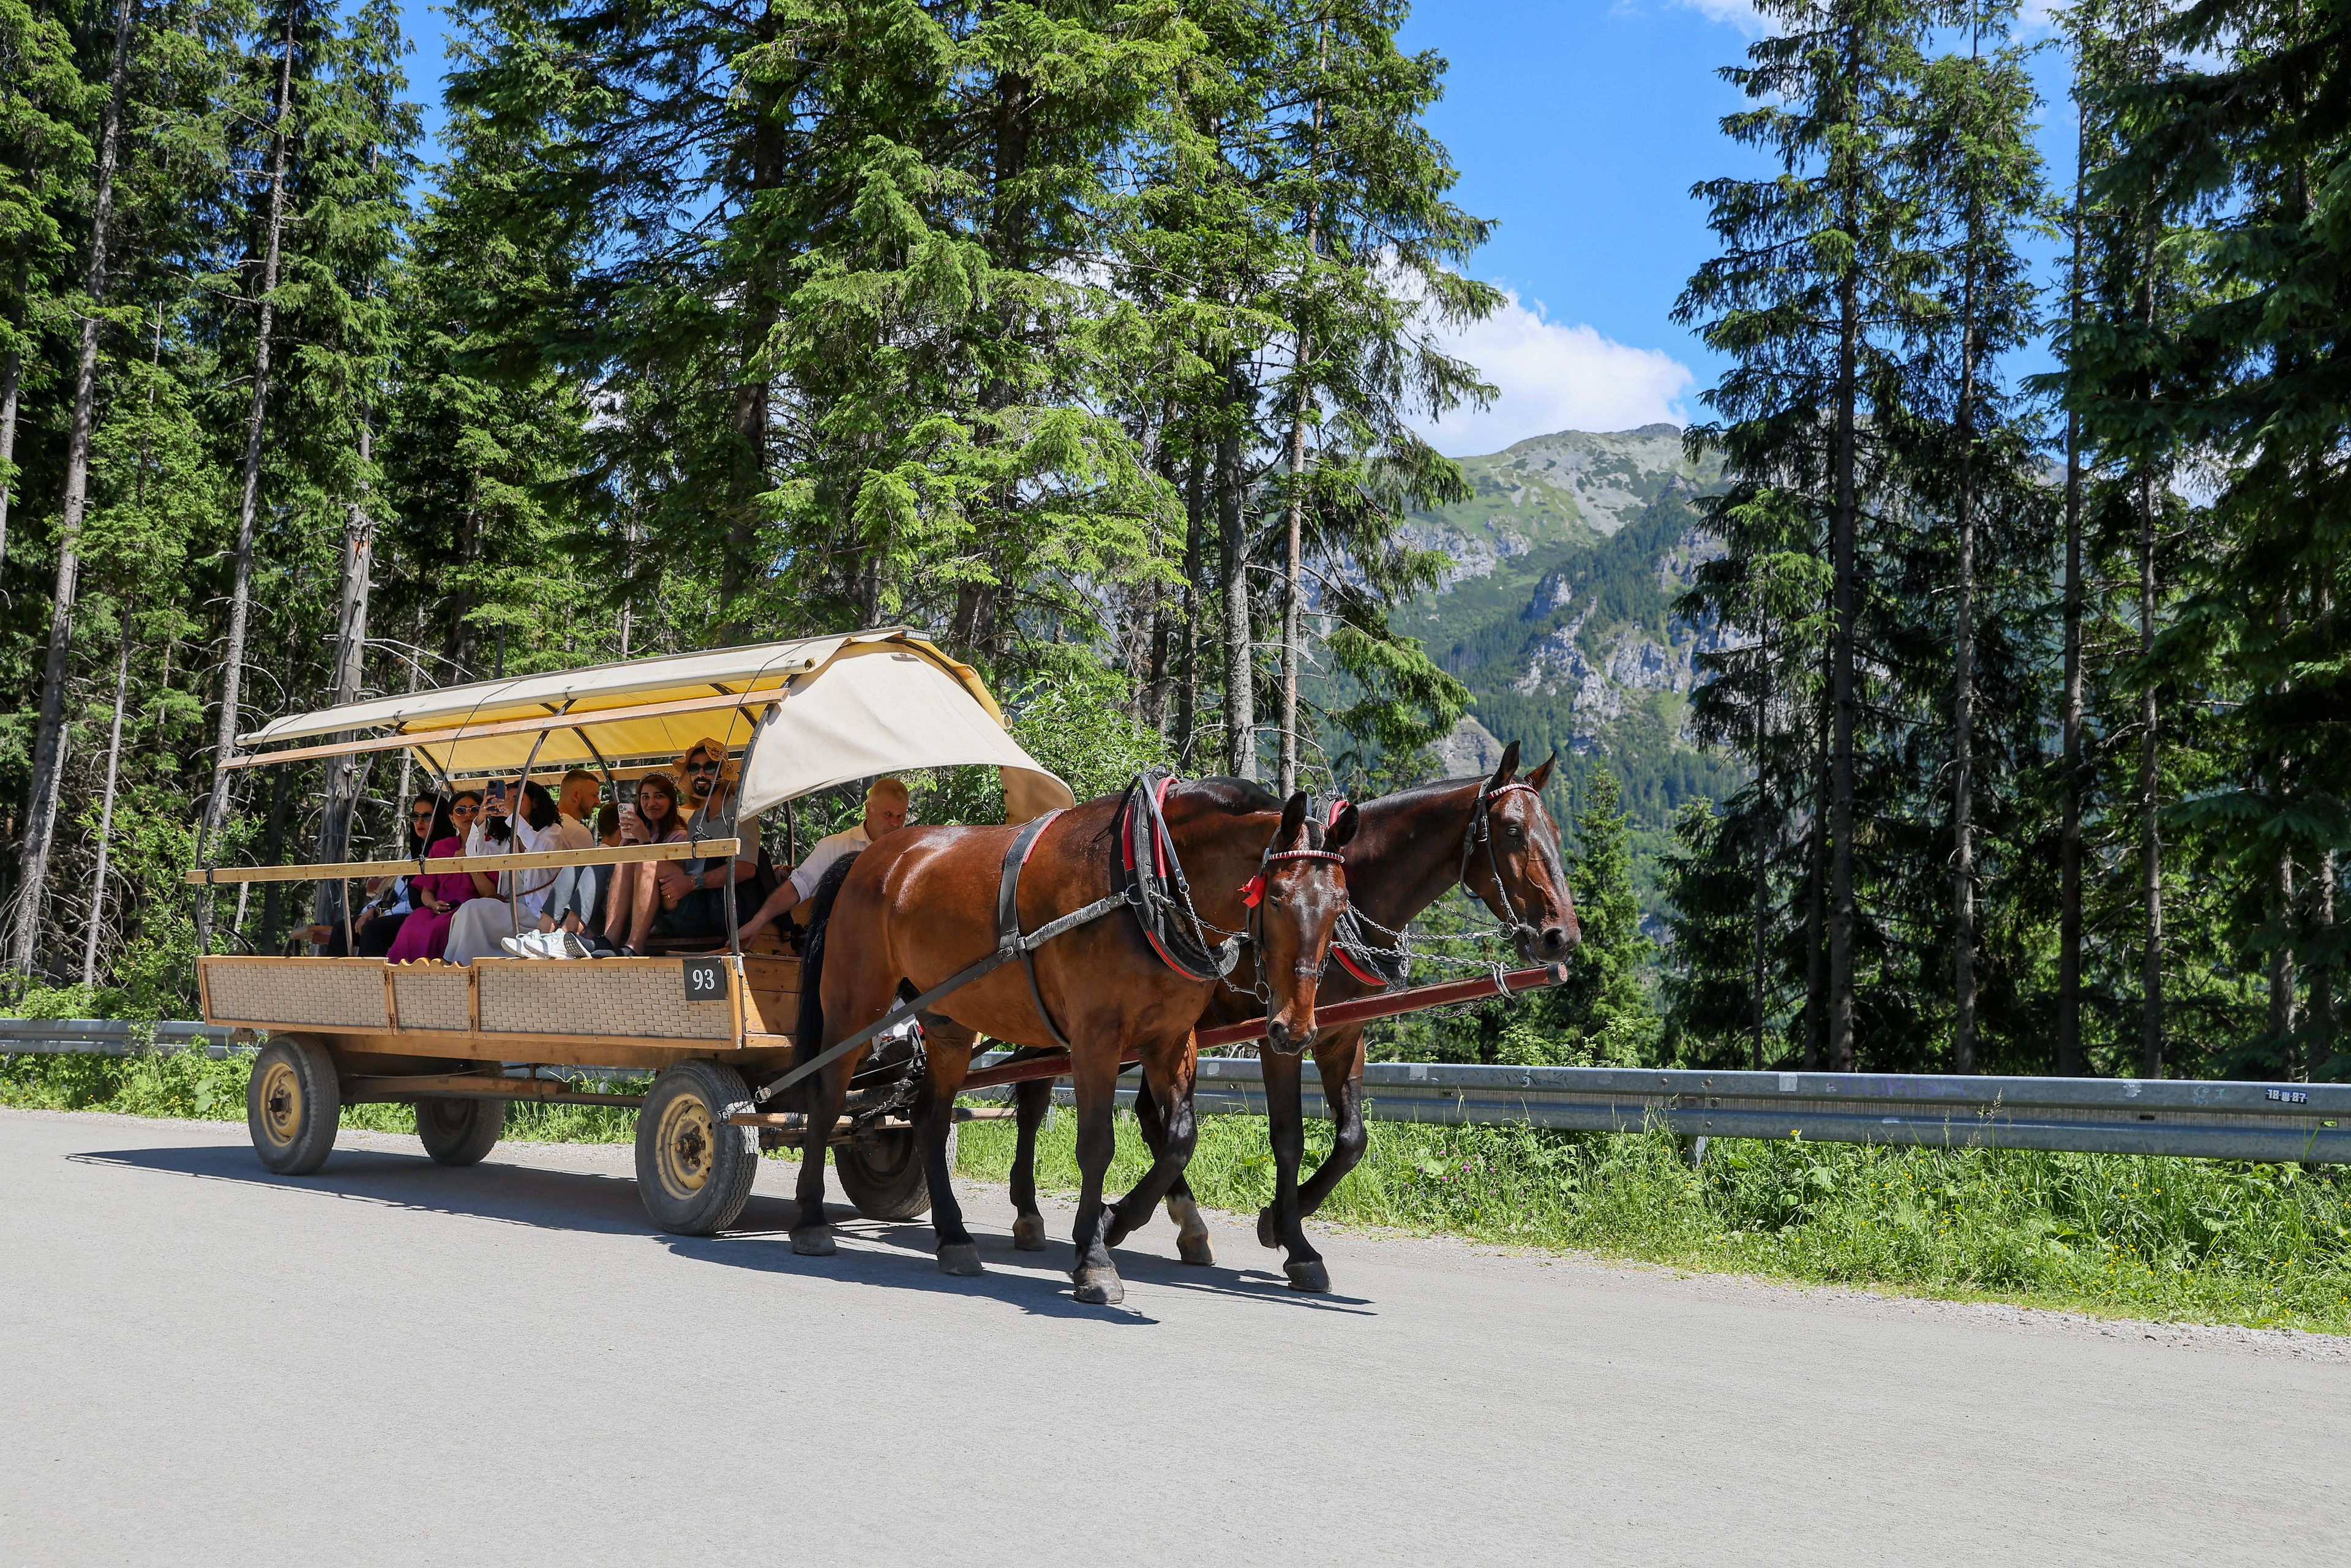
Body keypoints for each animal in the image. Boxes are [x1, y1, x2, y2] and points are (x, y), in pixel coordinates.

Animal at [788, 779, 1357, 1305]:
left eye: (1341, 903)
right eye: (1277, 898)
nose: (1294, 1028)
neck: (1146, 880)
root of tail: (870, 858)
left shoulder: (1170, 1040)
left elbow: (1179, 1140)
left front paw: (1115, 1219)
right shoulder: (1095, 1038)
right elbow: (1097, 1145)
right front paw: (1095, 1257)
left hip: (947, 1020)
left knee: (928, 1118)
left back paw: (954, 1238)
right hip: (854, 1004)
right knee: (827, 1098)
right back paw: (811, 1219)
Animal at [1008, 742, 1578, 1292]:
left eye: (1554, 831)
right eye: (1512, 830)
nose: (1562, 935)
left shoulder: (1343, 1035)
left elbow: (1351, 1141)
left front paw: (1282, 1219)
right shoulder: (1278, 1036)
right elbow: (1289, 1136)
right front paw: (1295, 1242)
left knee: (1147, 1114)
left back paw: (1182, 1224)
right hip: (1078, 1023)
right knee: (1035, 1098)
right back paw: (1034, 1213)